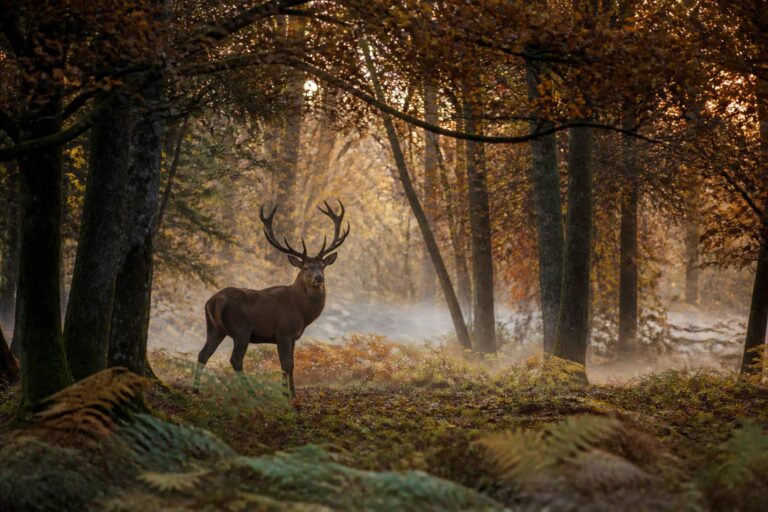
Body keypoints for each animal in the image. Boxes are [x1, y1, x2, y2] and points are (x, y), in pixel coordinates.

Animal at [192, 200, 349, 397]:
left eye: (322, 266)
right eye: (305, 267)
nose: (318, 278)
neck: (302, 312)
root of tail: (213, 302)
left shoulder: (293, 337)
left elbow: (292, 365)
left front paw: (293, 393)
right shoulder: (283, 332)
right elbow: (285, 364)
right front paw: (285, 394)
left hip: (214, 328)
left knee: (203, 354)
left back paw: (195, 389)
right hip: (241, 329)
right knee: (235, 359)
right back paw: (251, 392)